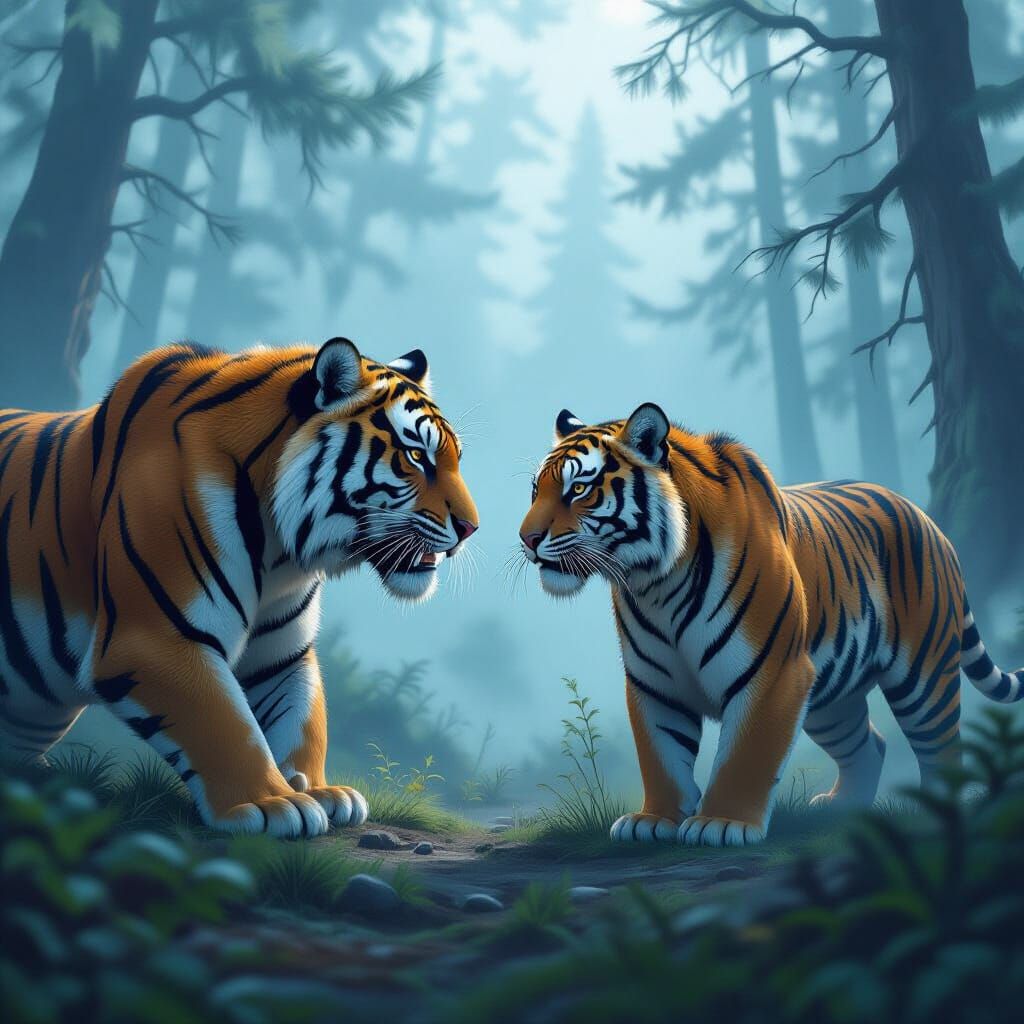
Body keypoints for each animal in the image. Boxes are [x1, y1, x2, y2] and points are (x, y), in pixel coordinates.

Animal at [0, 337, 478, 837]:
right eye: (416, 457)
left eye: (454, 460)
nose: (471, 529)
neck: (280, 549)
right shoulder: (155, 640)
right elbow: (226, 724)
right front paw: (273, 803)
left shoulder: (283, 654)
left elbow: (303, 719)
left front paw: (320, 790)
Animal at [519, 403, 1023, 847]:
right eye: (535, 490)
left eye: (578, 490)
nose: (526, 538)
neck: (656, 582)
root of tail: (926, 518)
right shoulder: (653, 683)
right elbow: (660, 753)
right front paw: (654, 820)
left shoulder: (772, 672)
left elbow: (747, 754)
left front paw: (721, 824)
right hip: (831, 699)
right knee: (870, 745)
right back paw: (844, 808)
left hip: (923, 676)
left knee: (943, 748)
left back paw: (938, 811)